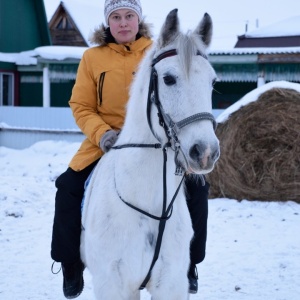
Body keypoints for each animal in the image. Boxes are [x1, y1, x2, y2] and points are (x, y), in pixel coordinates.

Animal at [81, 9, 219, 300]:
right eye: (168, 79)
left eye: (212, 82)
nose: (205, 152)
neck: (149, 205)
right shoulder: (113, 285)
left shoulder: (172, 285)